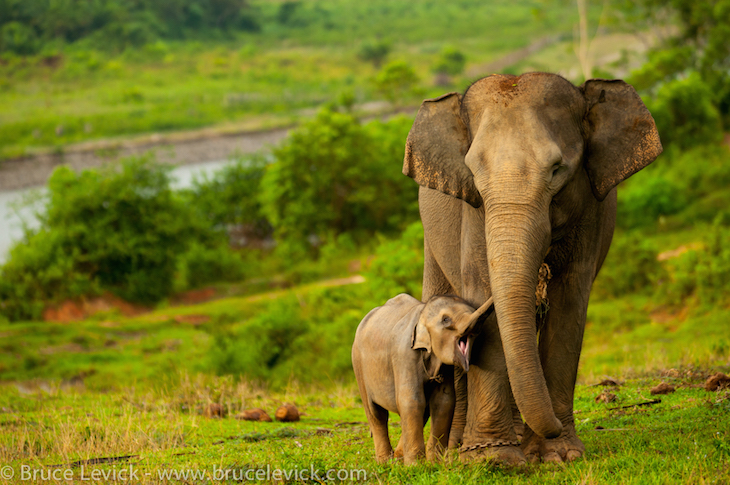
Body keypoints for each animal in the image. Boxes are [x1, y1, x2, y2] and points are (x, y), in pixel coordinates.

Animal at [352, 292, 492, 462]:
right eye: (446, 320)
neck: (422, 313)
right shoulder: (405, 354)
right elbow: (411, 400)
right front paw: (416, 465)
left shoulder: (445, 367)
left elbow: (443, 401)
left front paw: (435, 463)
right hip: (358, 364)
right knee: (375, 413)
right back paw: (385, 461)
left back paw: (399, 457)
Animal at [404, 73, 660, 466]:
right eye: (473, 173)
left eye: (557, 169)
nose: (550, 427)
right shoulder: (473, 212)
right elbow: (482, 294)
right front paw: (493, 460)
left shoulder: (590, 209)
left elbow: (570, 301)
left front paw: (559, 455)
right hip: (431, 239)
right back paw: (452, 450)